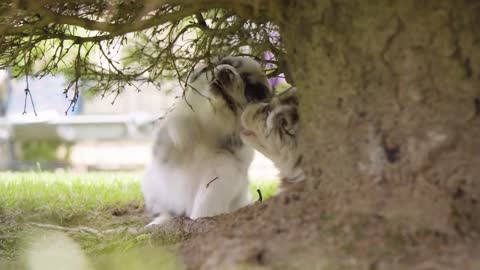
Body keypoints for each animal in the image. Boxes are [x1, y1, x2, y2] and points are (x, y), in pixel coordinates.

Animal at [142, 56, 270, 225]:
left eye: (249, 88)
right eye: (227, 64)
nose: (226, 71)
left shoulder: (225, 168)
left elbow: (208, 197)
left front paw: (201, 218)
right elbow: (177, 123)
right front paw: (184, 130)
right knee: (165, 211)